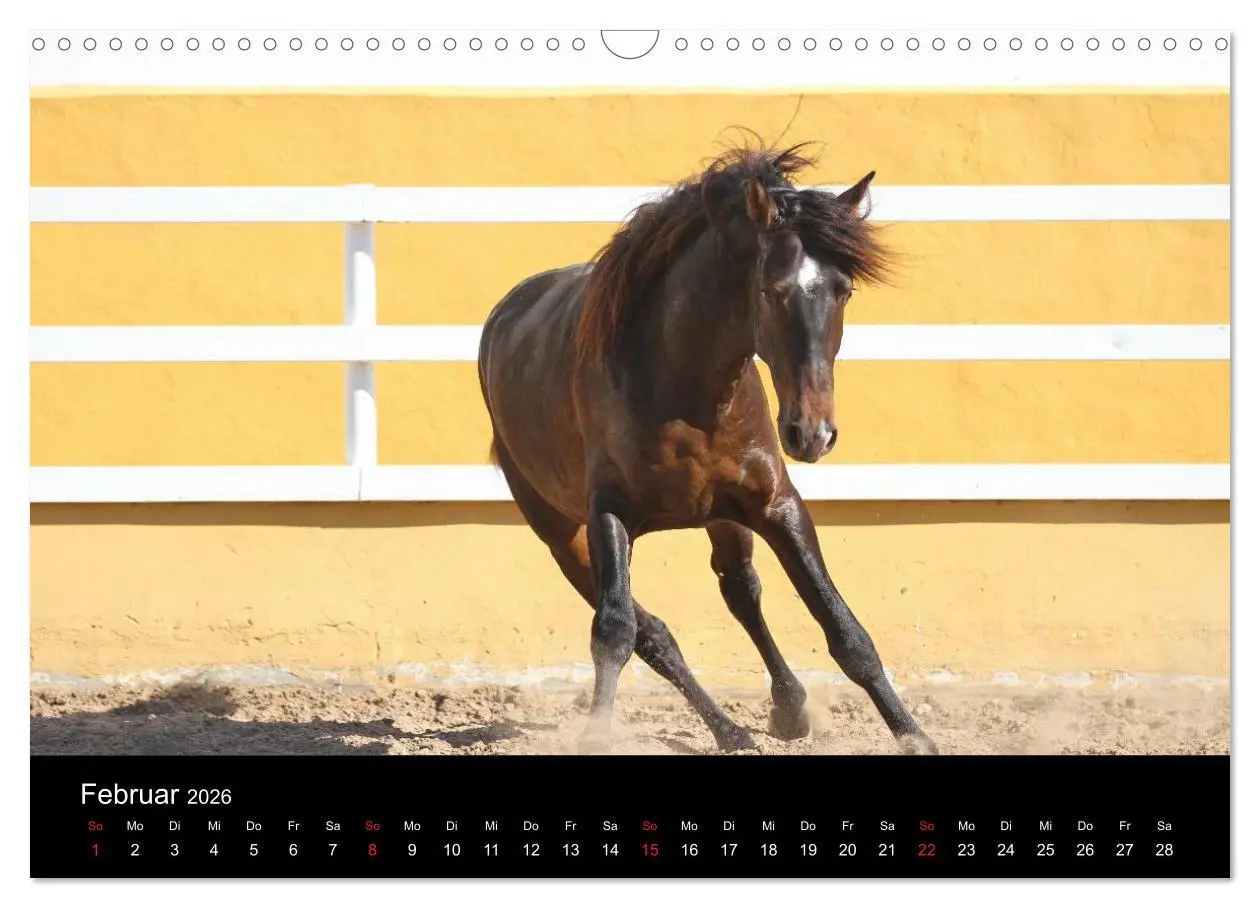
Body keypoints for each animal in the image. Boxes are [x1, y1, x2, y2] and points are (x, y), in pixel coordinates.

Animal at [476, 141, 938, 755]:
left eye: (844, 290)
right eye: (772, 289)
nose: (812, 433)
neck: (684, 387)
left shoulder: (777, 505)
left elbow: (845, 630)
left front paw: (915, 736)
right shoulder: (608, 515)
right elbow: (615, 631)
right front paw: (598, 734)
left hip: (723, 517)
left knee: (740, 591)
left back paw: (782, 709)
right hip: (560, 534)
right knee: (651, 632)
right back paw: (731, 729)